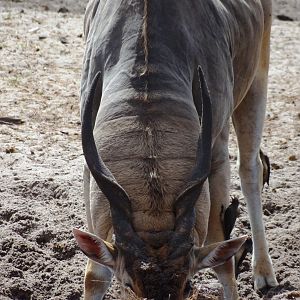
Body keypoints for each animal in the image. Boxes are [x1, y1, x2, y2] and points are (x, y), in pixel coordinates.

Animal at [73, 1, 278, 298]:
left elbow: (223, 264)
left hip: (257, 79)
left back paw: (264, 274)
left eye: (188, 283)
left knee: (251, 168)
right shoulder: (90, 171)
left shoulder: (216, 153)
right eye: (127, 283)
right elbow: (95, 275)